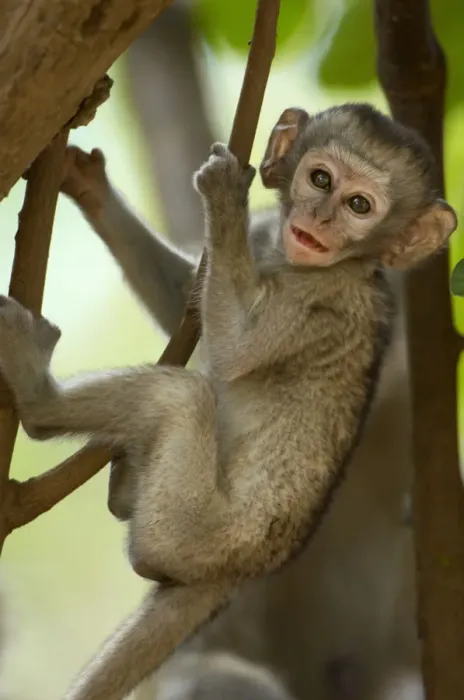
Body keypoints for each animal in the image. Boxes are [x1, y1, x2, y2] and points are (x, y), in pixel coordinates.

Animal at [0, 104, 456, 700]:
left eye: (360, 205)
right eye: (321, 179)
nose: (321, 219)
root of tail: (237, 574)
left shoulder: (321, 303)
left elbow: (236, 348)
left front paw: (223, 194)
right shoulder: (265, 234)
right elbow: (185, 304)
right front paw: (89, 185)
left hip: (191, 533)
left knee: (179, 396)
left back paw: (38, 398)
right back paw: (122, 482)